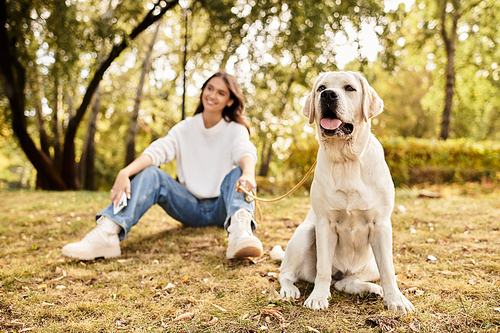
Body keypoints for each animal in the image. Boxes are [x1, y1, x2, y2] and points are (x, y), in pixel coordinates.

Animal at [276, 71, 412, 312]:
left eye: (349, 88)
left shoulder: (381, 224)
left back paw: (370, 289)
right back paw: (290, 289)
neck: (346, 159)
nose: (328, 95)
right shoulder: (324, 224)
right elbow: (322, 270)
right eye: (321, 88)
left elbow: (388, 271)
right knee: (286, 273)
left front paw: (396, 300)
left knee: (345, 282)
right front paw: (318, 297)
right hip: (305, 232)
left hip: (371, 262)